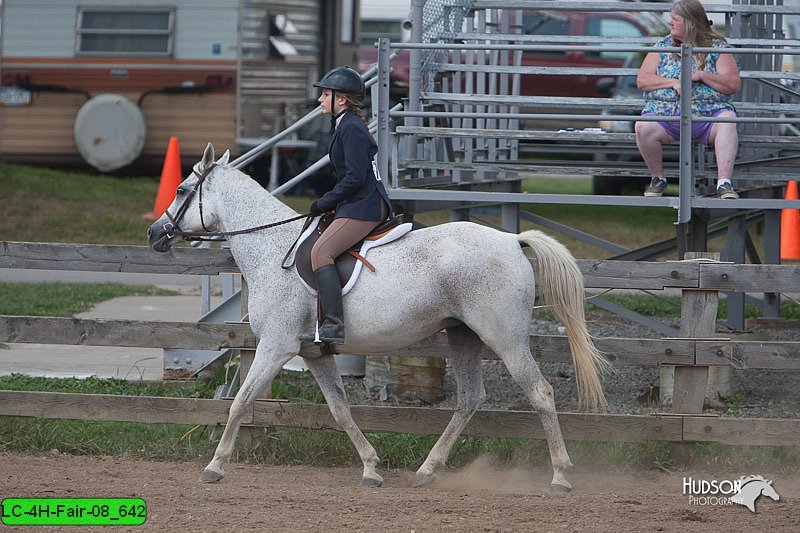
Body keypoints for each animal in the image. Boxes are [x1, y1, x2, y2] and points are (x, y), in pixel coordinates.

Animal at [147, 142, 608, 490]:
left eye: (183, 189)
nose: (154, 233)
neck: (271, 247)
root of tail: (512, 241)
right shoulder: (314, 354)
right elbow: (340, 410)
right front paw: (370, 468)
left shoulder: (276, 346)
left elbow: (240, 402)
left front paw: (214, 467)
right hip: (463, 336)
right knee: (469, 399)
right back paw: (426, 471)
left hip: (505, 339)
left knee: (540, 393)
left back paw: (560, 476)